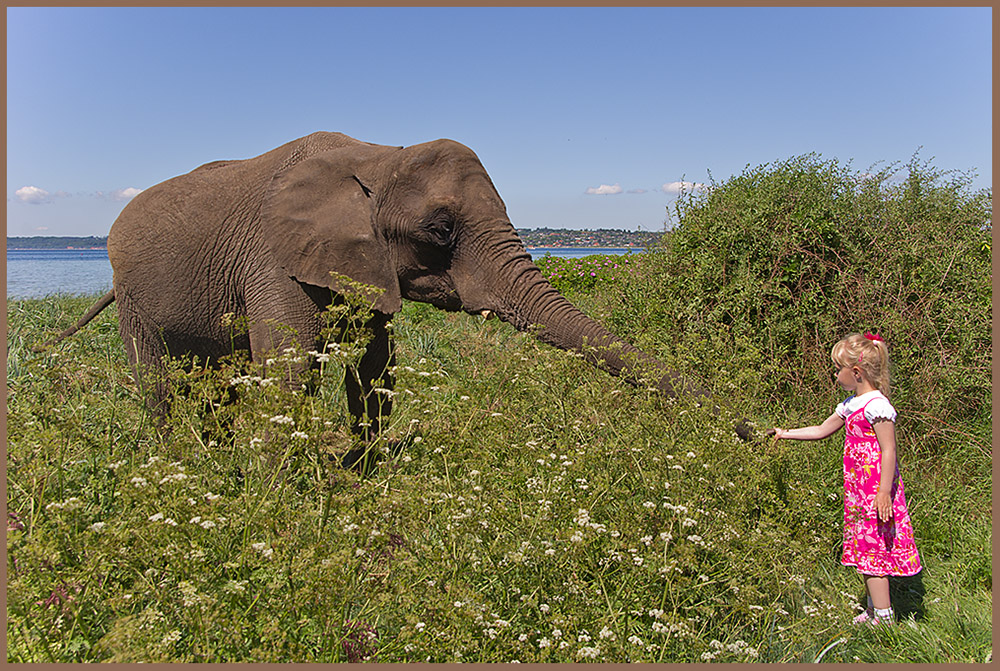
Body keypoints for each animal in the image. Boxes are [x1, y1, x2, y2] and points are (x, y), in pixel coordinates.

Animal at [45, 131, 752, 446]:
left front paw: (359, 473)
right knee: (158, 379)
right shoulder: (272, 258)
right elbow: (288, 370)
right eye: (440, 229)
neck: (377, 154)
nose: (765, 435)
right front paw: (278, 502)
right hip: (131, 292)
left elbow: (375, 365)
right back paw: (178, 465)